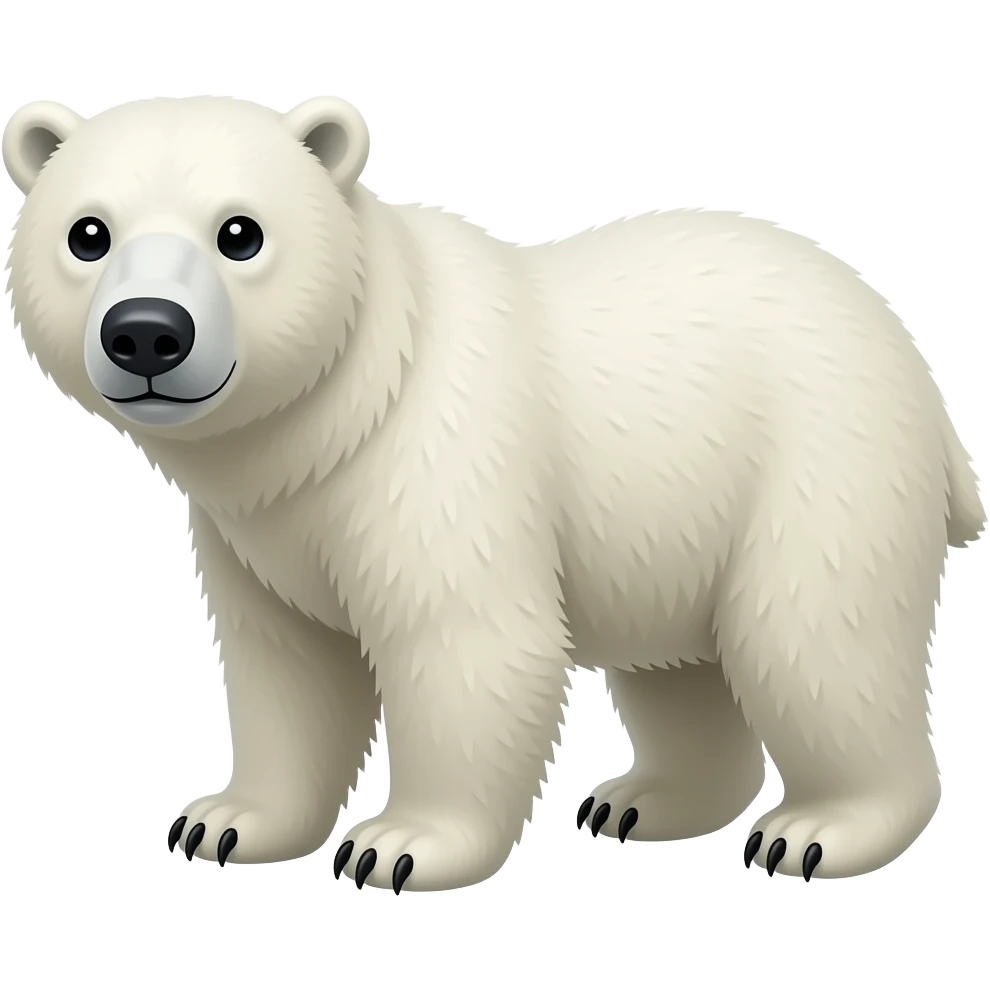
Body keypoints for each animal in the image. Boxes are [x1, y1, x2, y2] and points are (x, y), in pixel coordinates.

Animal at [3, 95, 983, 891]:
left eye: (239, 232)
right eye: (87, 233)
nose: (146, 332)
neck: (337, 416)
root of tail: (907, 352)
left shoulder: (440, 459)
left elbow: (465, 642)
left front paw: (397, 846)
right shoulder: (257, 524)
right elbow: (286, 663)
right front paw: (224, 822)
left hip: (820, 462)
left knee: (811, 641)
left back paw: (816, 830)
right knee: (681, 668)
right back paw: (641, 801)